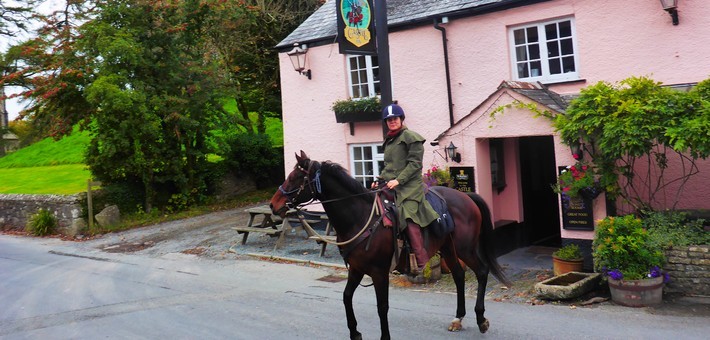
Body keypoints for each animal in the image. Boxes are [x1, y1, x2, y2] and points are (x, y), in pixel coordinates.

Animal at [272, 152, 512, 340]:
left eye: (295, 177)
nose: (274, 205)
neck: (359, 217)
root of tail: (466, 196)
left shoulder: (379, 273)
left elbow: (382, 307)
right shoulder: (357, 269)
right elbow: (346, 297)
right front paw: (355, 332)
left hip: (465, 248)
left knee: (481, 271)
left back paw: (481, 318)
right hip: (447, 248)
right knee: (459, 274)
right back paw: (458, 318)